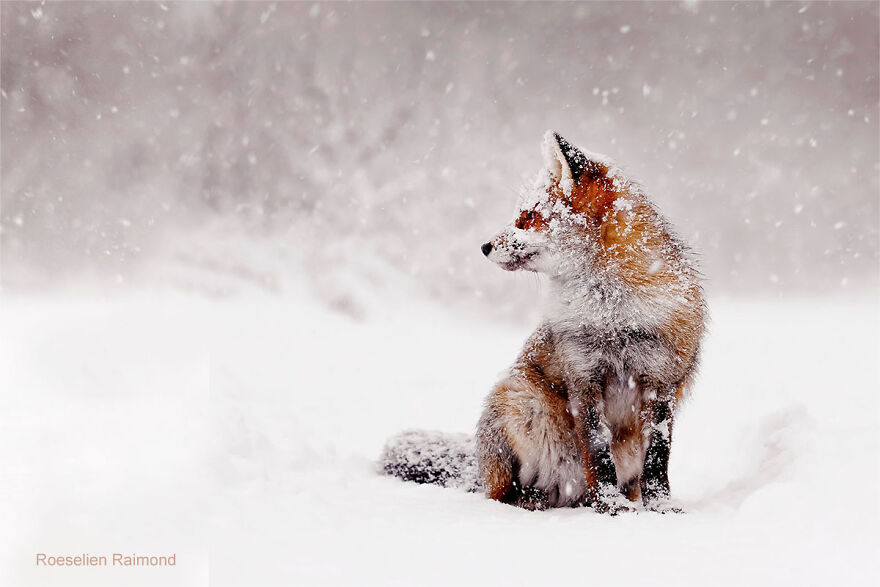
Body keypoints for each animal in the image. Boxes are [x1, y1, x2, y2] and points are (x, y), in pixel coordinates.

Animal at [381, 131, 706, 513]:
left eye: (528, 217)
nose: (484, 246)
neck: (613, 317)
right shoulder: (583, 379)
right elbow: (598, 454)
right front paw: (611, 508)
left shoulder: (661, 382)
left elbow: (657, 458)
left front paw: (661, 509)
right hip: (522, 401)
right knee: (508, 492)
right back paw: (538, 500)